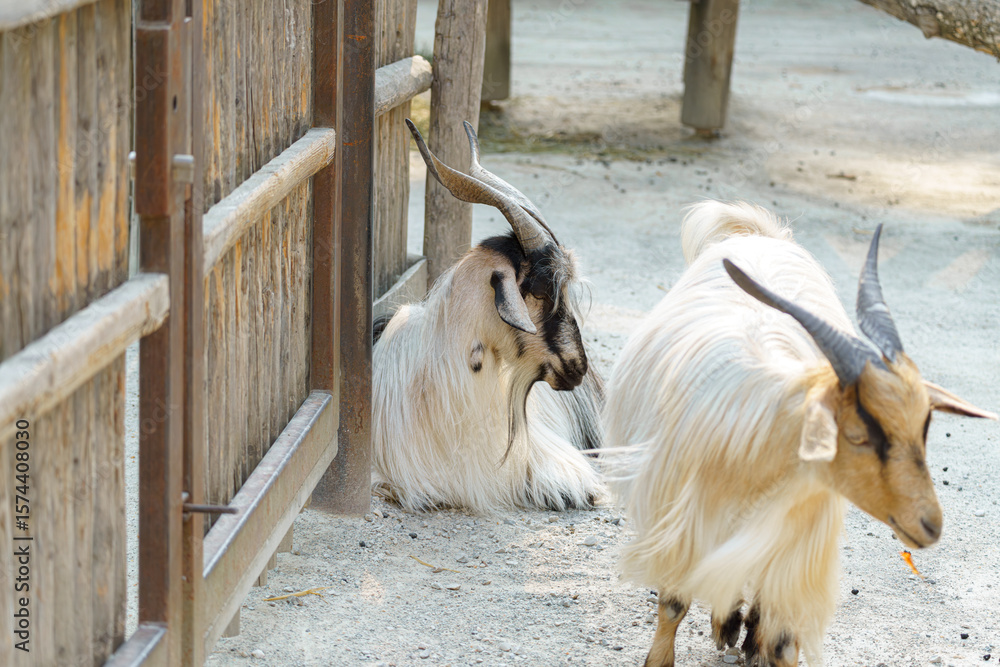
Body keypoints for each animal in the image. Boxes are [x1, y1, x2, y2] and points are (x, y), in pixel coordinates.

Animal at [602, 201, 995, 667]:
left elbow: (783, 637)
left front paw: (752, 634)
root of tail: (762, 234)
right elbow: (673, 603)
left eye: (924, 427)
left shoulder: (796, 545)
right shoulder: (679, 522)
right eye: (858, 434)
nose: (930, 525)